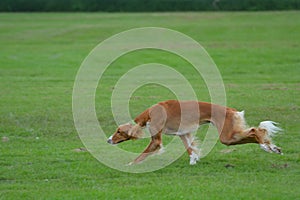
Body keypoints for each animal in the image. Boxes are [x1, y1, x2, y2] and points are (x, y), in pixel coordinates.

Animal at [108, 99, 284, 165]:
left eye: (118, 131)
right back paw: (273, 147)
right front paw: (194, 161)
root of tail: (231, 110)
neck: (149, 114)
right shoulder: (183, 133)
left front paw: (129, 165)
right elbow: (190, 149)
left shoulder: (156, 140)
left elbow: (141, 155)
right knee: (258, 130)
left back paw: (266, 146)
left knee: (255, 130)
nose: (108, 140)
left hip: (226, 136)